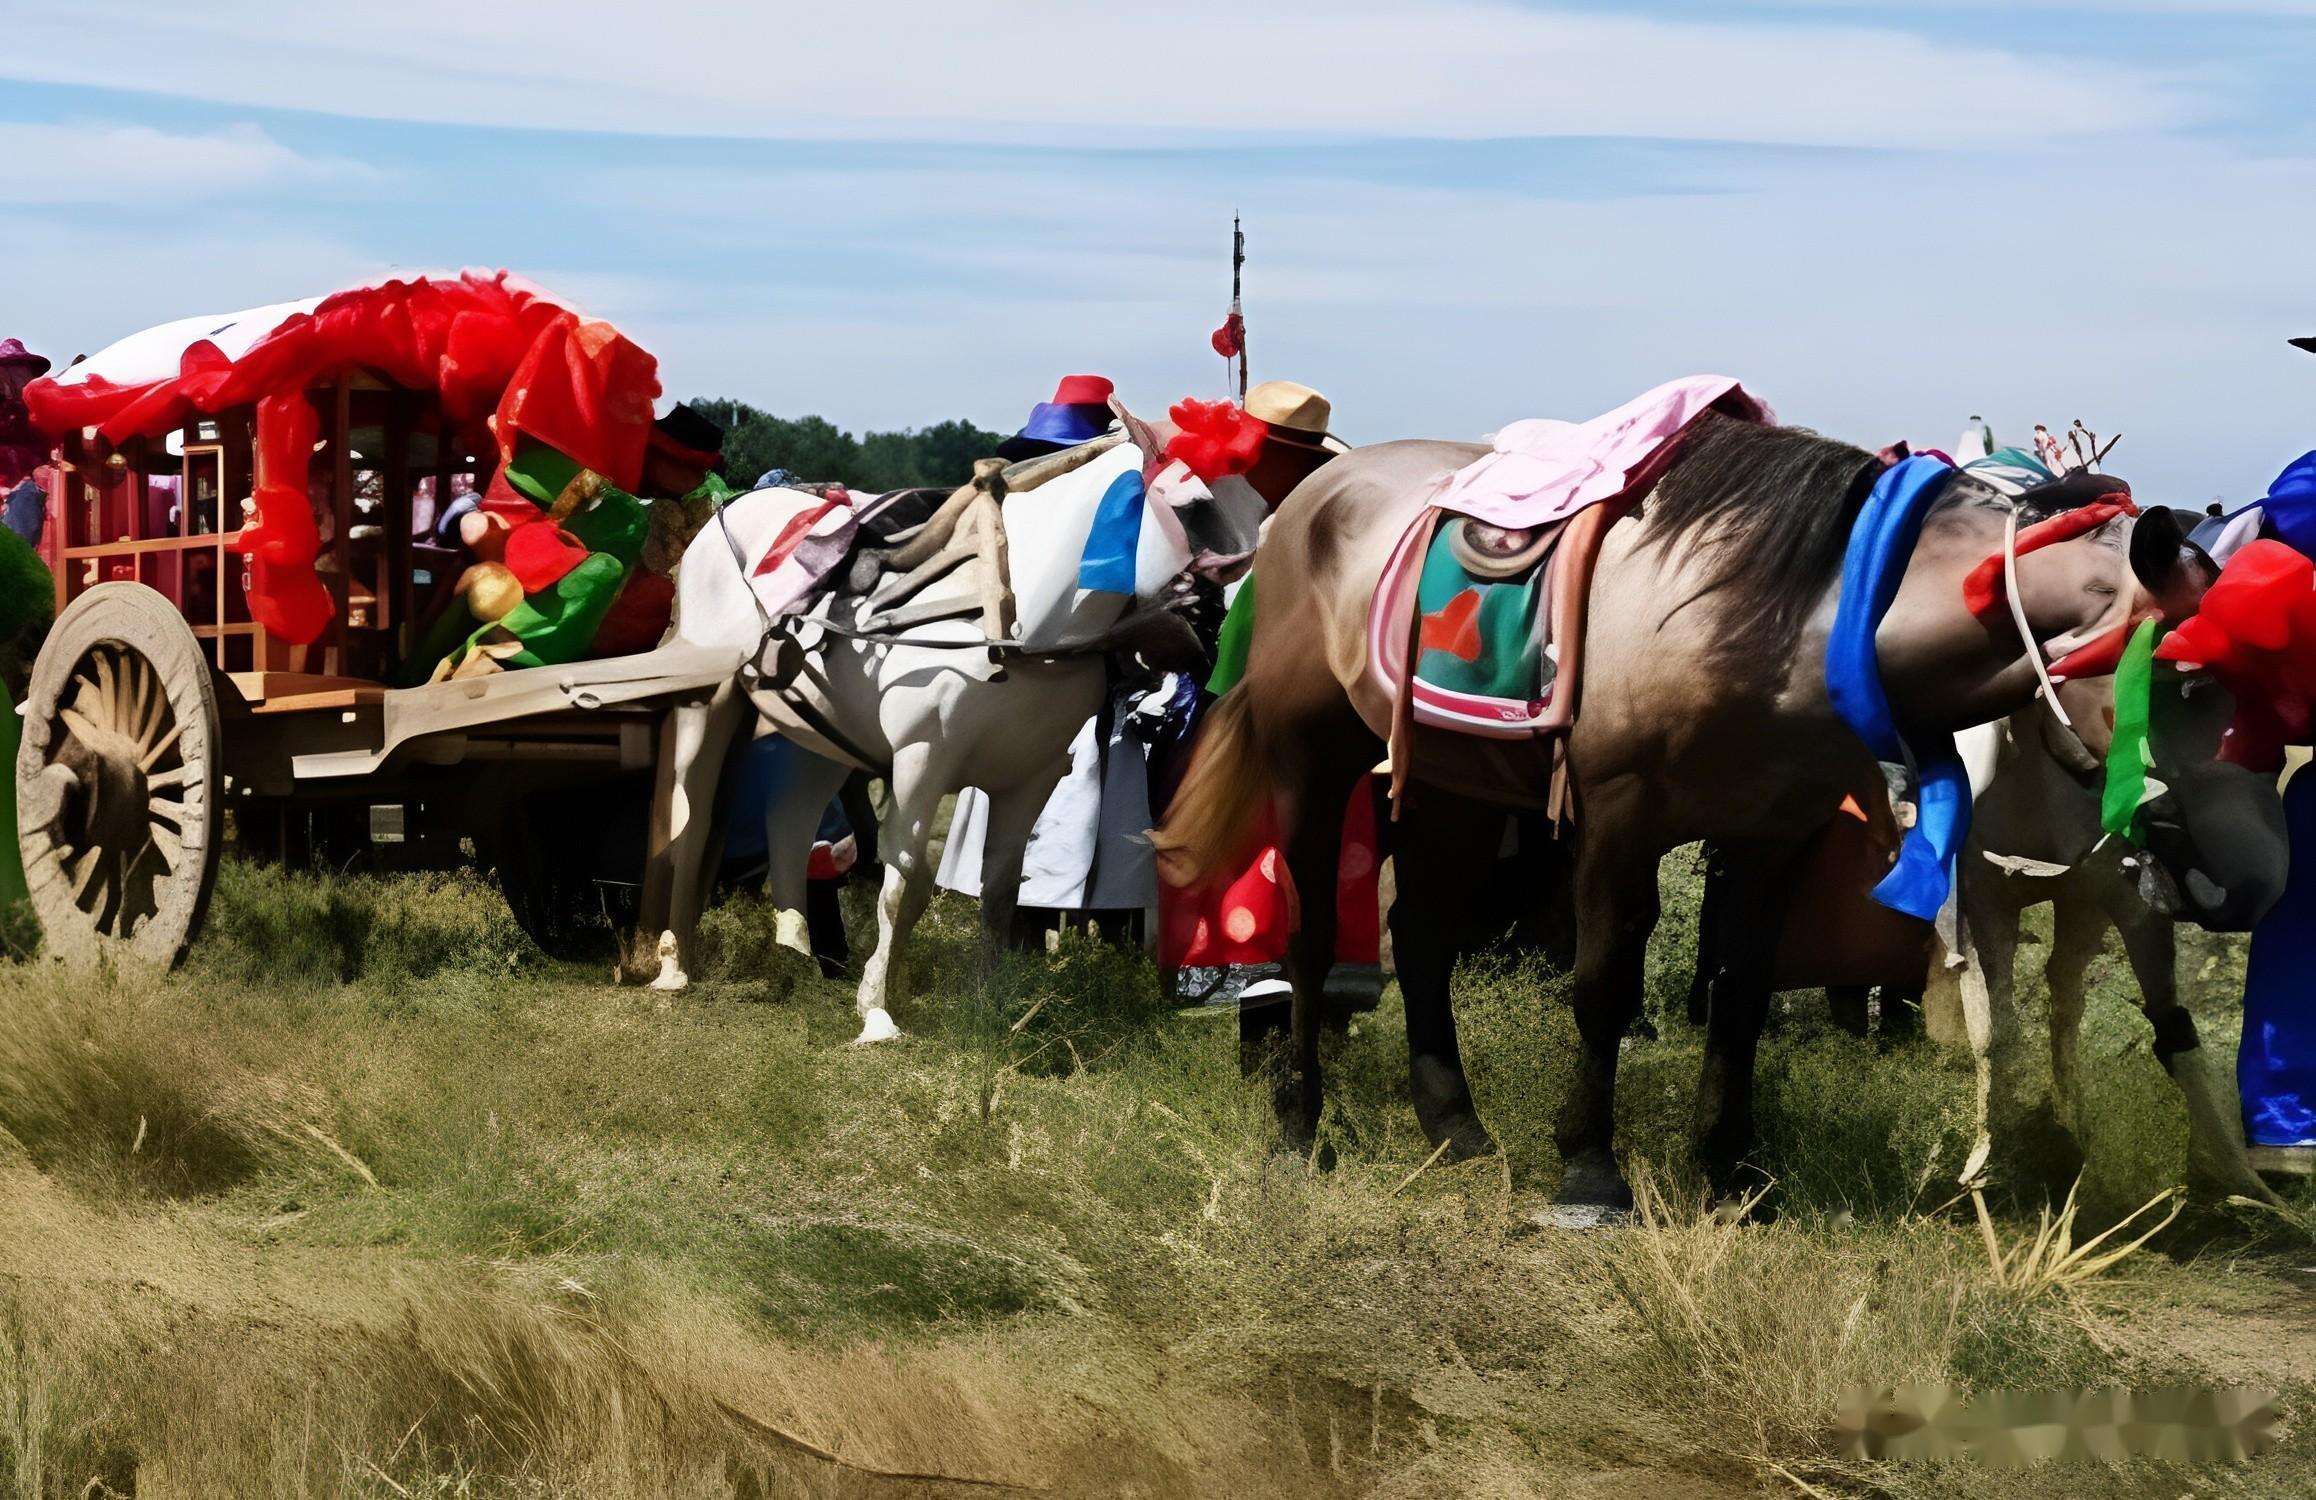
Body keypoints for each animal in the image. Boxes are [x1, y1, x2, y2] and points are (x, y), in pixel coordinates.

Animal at [629, 439, 1213, 1037]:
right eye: (1194, 509)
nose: (1204, 630)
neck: (1015, 625)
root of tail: (728, 510)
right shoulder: (921, 761)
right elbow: (905, 882)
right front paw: (877, 1009)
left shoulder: (1030, 779)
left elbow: (1000, 886)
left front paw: (988, 996)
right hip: (709, 702)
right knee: (692, 820)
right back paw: (675, 966)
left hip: (821, 733)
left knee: (789, 820)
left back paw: (797, 955)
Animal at [1148, 409, 2269, 1222]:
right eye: (2189, 679)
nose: (2251, 883)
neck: (1786, 617)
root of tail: (1307, 499)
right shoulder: (1615, 823)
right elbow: (1603, 988)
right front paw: (1590, 1171)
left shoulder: (1771, 835)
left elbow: (1740, 998)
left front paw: (1732, 1169)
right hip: (1314, 760)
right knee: (1305, 940)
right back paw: (1302, 1129)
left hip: (1447, 784)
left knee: (1419, 937)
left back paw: (1455, 1130)